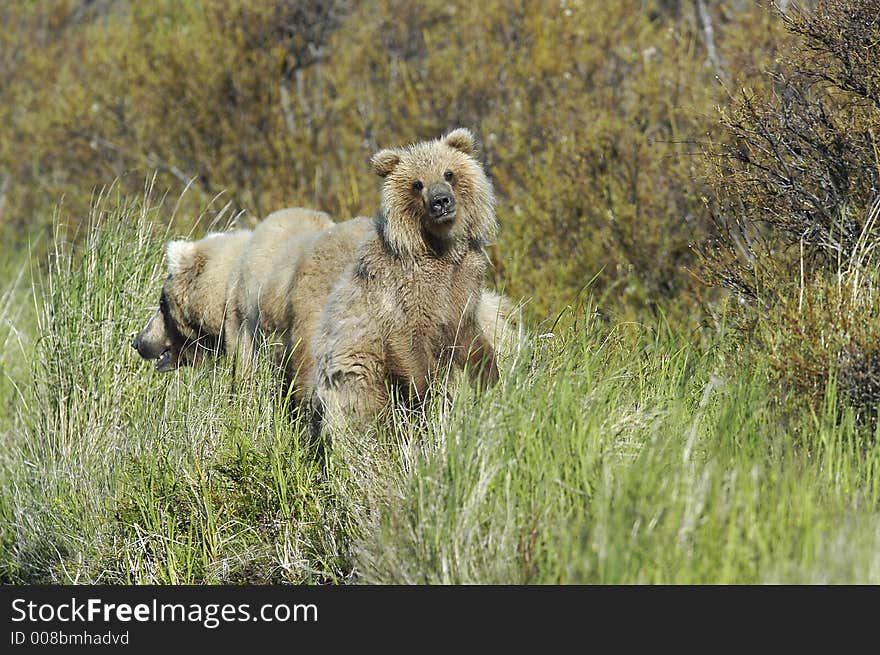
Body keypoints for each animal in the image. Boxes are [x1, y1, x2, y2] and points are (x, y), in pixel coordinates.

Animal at [310, 128, 502, 436]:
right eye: (417, 184)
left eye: (448, 173)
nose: (441, 201)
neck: (440, 249)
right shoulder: (403, 293)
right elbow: (410, 348)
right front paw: (436, 400)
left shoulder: (462, 284)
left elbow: (471, 338)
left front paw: (490, 377)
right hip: (357, 375)